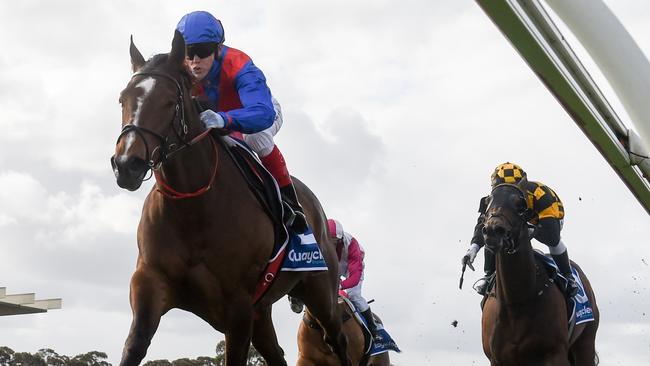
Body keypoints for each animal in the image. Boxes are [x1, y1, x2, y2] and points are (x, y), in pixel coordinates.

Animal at [110, 30, 350, 366]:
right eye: (123, 99)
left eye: (170, 101)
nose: (126, 165)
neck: (192, 208)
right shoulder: (149, 285)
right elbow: (135, 345)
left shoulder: (237, 307)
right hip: (262, 312)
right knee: (276, 354)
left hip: (320, 293)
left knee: (338, 341)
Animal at [480, 184, 596, 364]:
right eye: (487, 201)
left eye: (519, 205)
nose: (493, 230)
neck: (517, 301)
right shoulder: (497, 359)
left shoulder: (555, 354)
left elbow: (551, 233)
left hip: (586, 343)